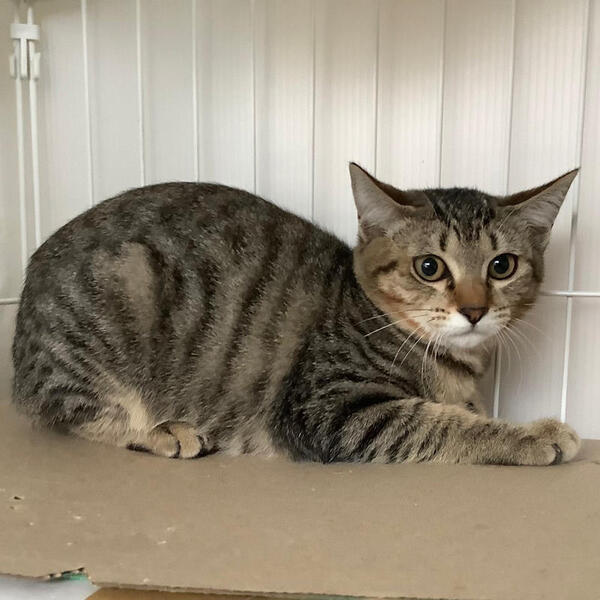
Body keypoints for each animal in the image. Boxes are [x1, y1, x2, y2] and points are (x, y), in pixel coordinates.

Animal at [12, 163, 581, 465]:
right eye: (429, 267)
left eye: (502, 266)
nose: (475, 309)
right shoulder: (330, 409)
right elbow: (440, 422)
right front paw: (533, 434)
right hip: (121, 290)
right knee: (72, 413)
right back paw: (162, 431)